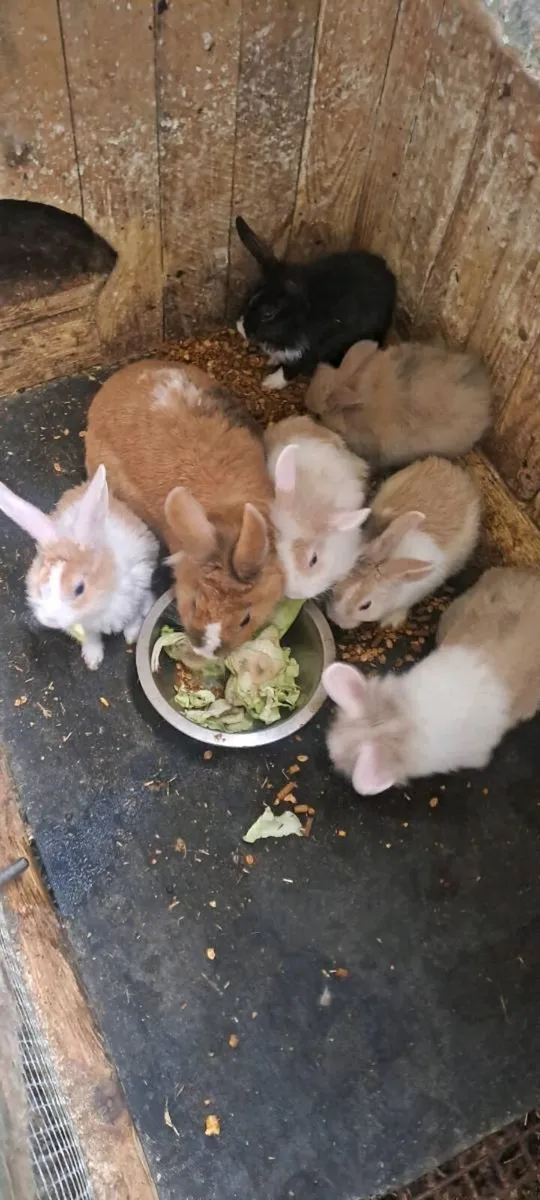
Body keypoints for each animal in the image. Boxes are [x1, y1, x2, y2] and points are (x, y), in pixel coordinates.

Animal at [0, 466, 159, 669]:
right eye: (43, 587)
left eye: (79, 589)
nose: (50, 620)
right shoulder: (86, 626)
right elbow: (91, 638)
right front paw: (93, 660)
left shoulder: (132, 597)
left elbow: (132, 619)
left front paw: (132, 636)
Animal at [234, 215, 396, 390]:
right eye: (248, 294)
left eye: (268, 314)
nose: (240, 328)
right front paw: (272, 361)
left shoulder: (306, 354)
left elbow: (287, 372)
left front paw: (270, 382)